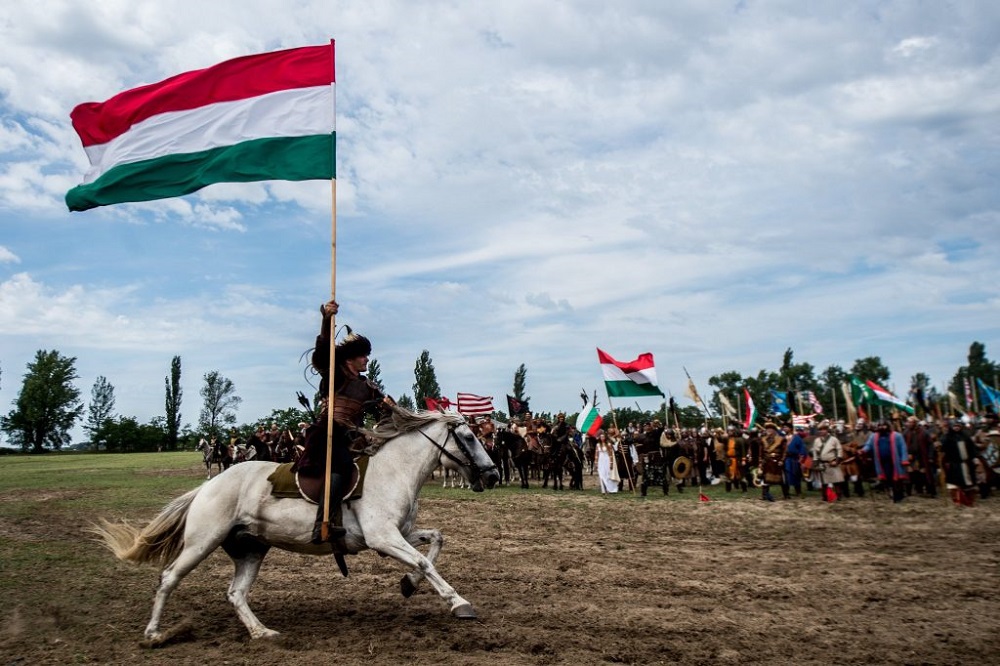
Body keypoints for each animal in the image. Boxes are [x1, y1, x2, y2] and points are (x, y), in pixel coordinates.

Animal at [92, 407, 500, 644]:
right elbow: (425, 561)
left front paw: (408, 585)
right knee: (168, 578)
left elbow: (435, 542)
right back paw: (154, 633)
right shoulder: (383, 537)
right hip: (201, 542)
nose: (494, 474)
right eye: (467, 437)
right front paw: (459, 603)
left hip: (251, 549)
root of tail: (208, 486)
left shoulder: (394, 534)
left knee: (235, 593)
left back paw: (262, 633)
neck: (392, 471)